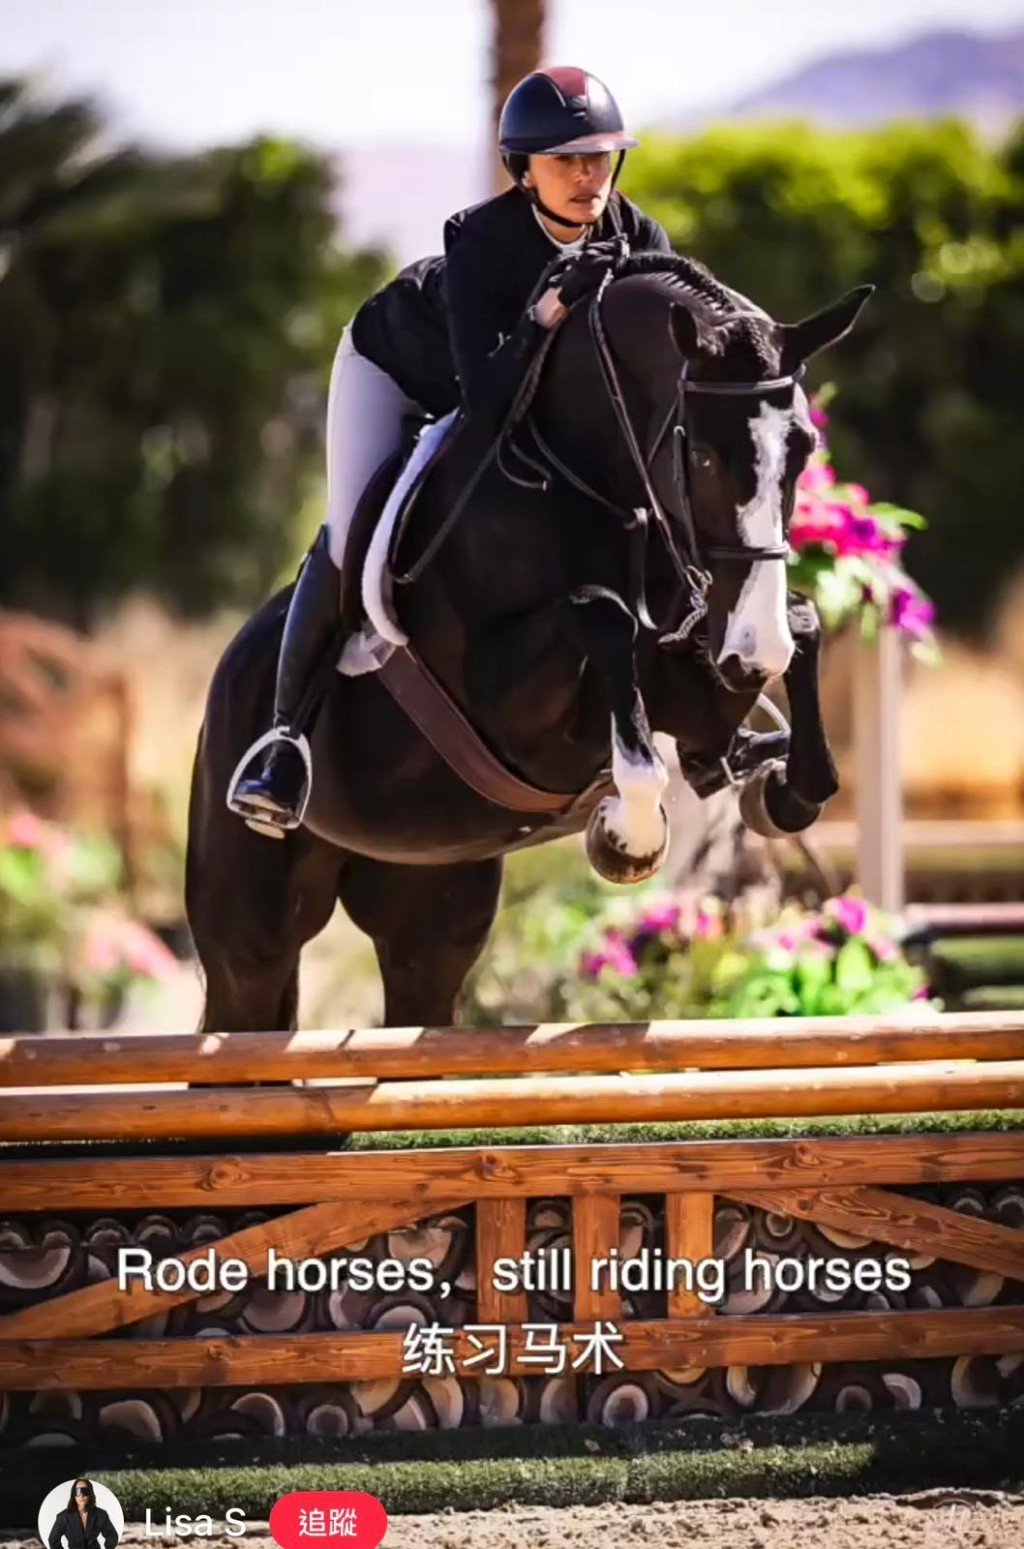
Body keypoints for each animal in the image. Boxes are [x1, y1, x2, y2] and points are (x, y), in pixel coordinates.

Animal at [185, 253, 872, 1032]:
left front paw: (780, 784)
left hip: (428, 903)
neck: (592, 479)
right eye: (698, 454)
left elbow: (800, 633)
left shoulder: (698, 662)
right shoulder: (501, 703)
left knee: (418, 982)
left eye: (803, 449)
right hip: (251, 926)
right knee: (244, 989)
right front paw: (629, 834)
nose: (753, 651)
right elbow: (603, 615)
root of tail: (229, 677)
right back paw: (271, 779)